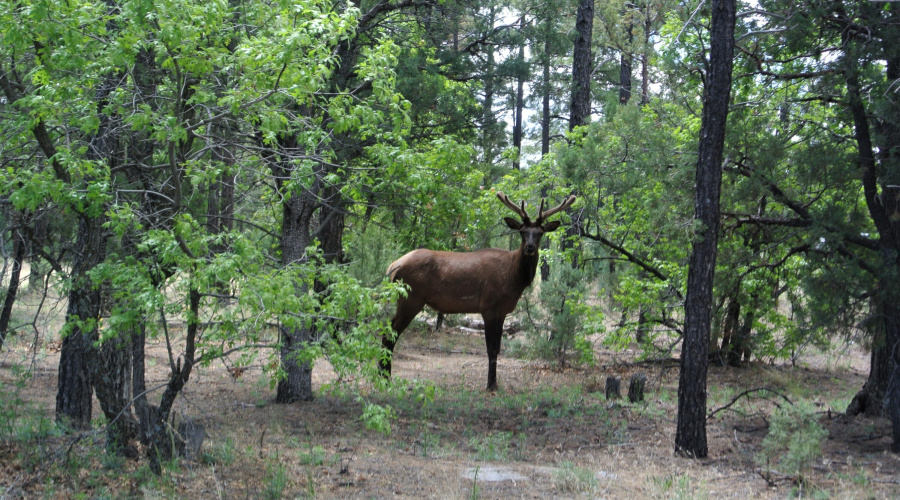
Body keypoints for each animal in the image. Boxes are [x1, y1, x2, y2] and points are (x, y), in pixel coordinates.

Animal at [378, 191, 576, 390]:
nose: (529, 247)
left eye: (540, 233)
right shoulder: (488, 306)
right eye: (522, 232)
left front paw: (494, 383)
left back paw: (383, 374)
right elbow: (491, 348)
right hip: (410, 298)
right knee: (390, 333)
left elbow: (498, 347)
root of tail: (392, 266)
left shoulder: (502, 311)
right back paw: (385, 377)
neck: (513, 279)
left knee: (387, 330)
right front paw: (490, 385)